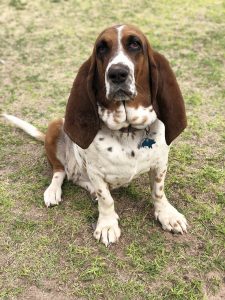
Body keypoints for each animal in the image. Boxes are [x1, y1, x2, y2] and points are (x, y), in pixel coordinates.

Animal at [2, 24, 187, 246]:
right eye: (101, 48)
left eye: (135, 44)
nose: (117, 73)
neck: (127, 130)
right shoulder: (97, 173)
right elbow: (107, 200)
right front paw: (107, 225)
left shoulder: (160, 165)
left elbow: (158, 192)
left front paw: (167, 215)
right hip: (56, 125)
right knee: (60, 171)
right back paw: (53, 191)